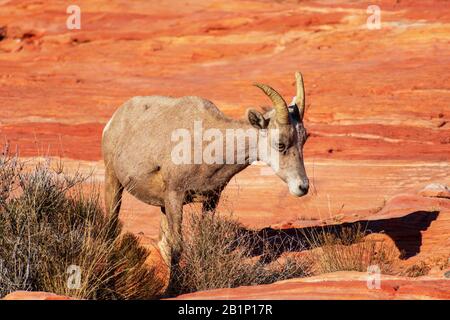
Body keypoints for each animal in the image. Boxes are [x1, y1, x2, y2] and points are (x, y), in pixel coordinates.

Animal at [103, 70, 310, 282]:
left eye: (304, 139)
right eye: (280, 143)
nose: (302, 187)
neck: (208, 144)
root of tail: (114, 120)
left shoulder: (211, 199)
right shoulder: (175, 196)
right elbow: (177, 248)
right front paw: (175, 286)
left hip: (161, 206)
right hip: (113, 182)